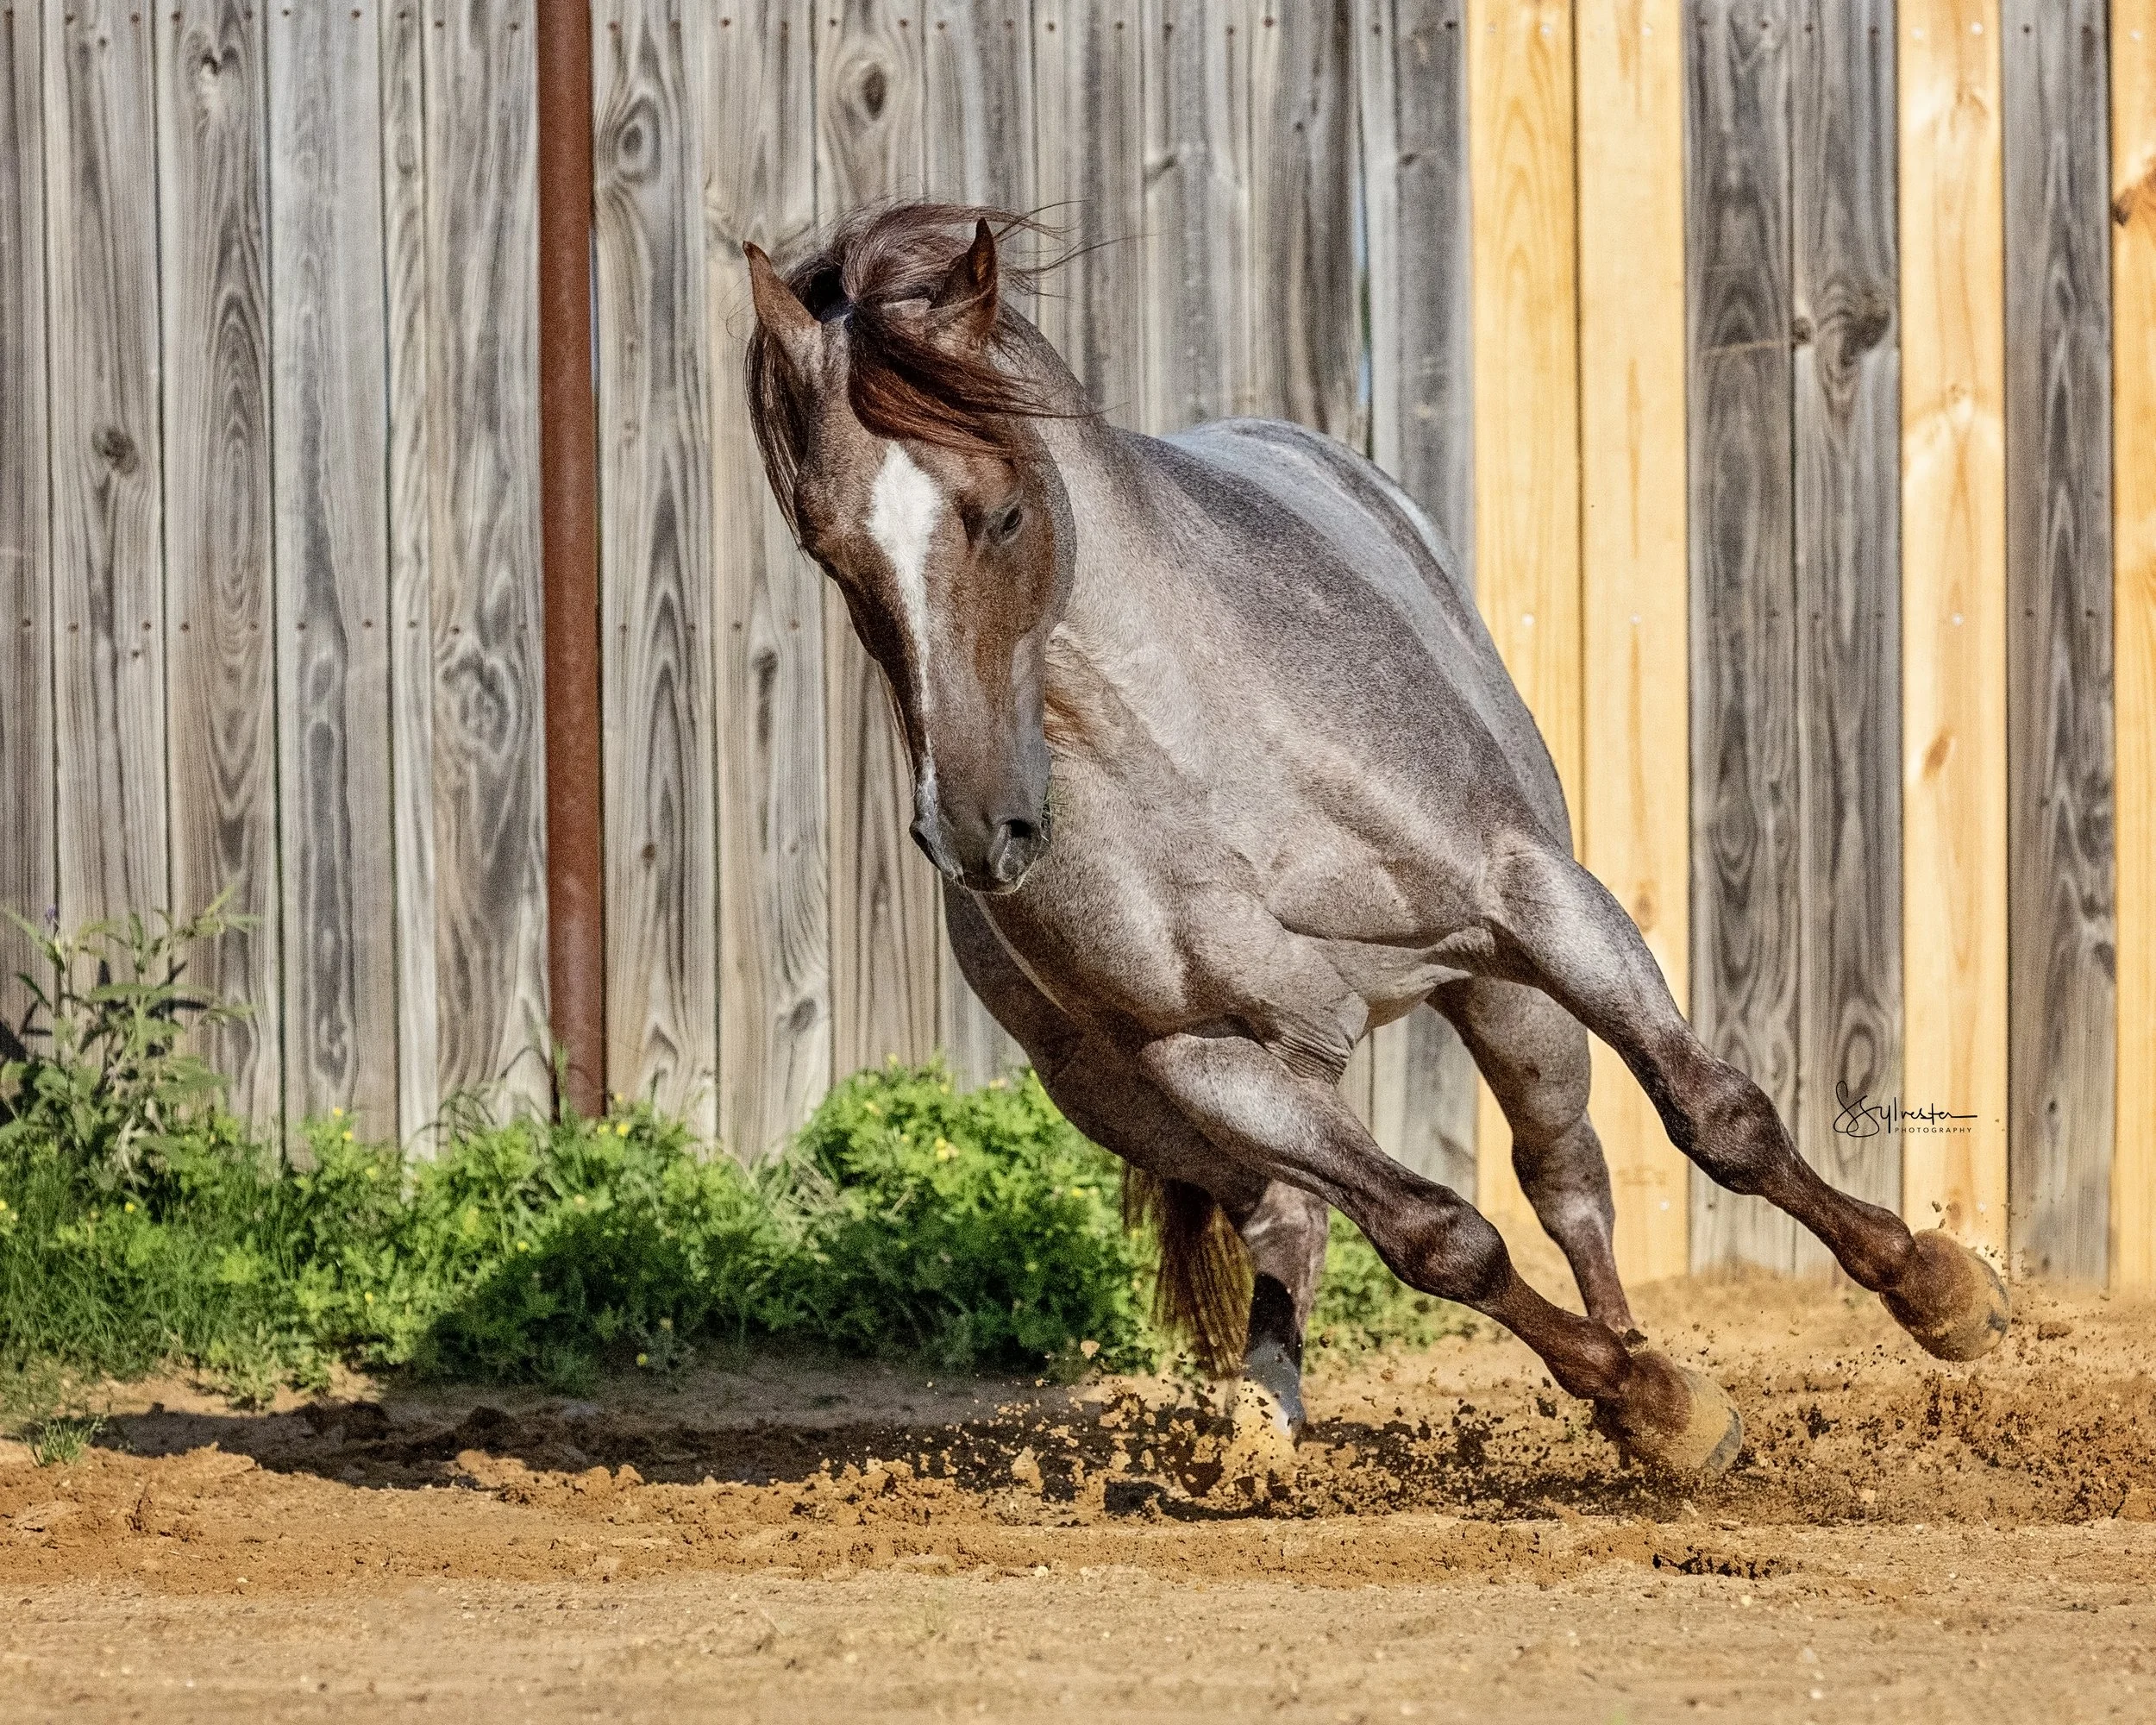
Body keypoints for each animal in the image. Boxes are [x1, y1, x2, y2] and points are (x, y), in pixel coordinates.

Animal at [741, 202, 2008, 1476]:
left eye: (1000, 512)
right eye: (831, 554)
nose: (974, 829)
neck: (1192, 758)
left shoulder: (1531, 902)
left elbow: (1720, 1118)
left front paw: (1939, 1293)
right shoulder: (1201, 1056)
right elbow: (1437, 1237)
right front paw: (1653, 1402)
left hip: (1504, 998)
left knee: (1566, 1173)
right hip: (1156, 1101)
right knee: (1289, 1218)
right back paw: (1273, 1432)